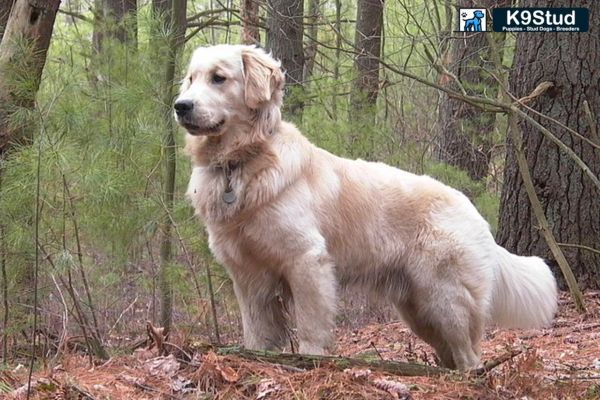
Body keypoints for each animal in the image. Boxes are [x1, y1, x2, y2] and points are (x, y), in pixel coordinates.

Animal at [173, 45, 556, 370]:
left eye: (219, 78)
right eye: (191, 78)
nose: (181, 105)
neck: (240, 163)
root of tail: (471, 210)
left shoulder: (306, 260)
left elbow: (310, 325)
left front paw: (311, 360)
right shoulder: (247, 273)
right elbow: (256, 330)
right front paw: (256, 356)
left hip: (447, 300)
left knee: (470, 354)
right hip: (419, 310)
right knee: (451, 354)